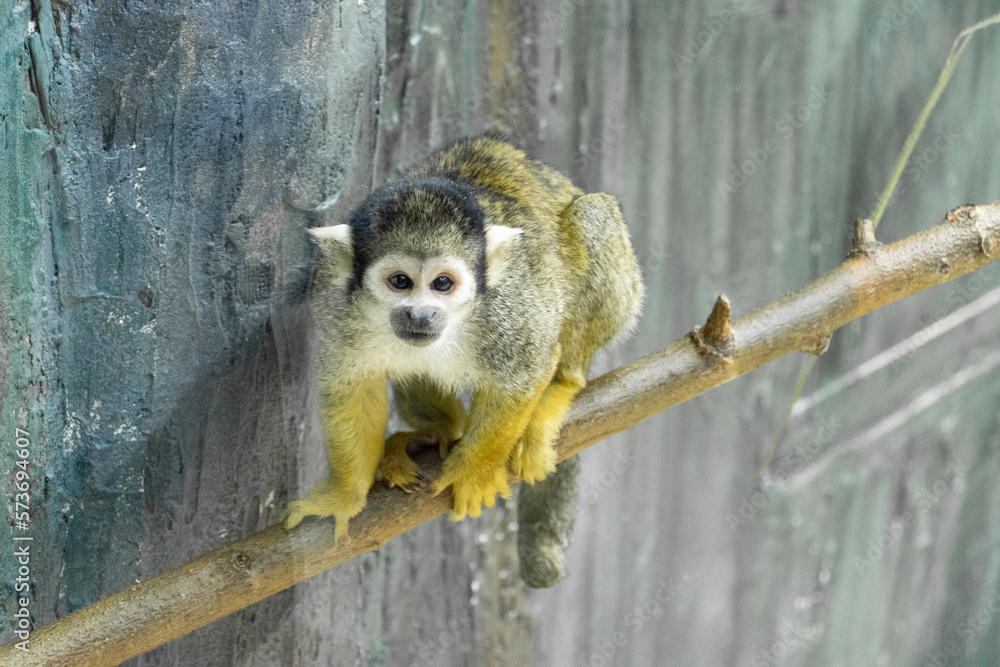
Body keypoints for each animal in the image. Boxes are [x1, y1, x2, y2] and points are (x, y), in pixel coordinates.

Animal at [283, 137, 644, 579]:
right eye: (400, 281)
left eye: (443, 283)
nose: (421, 314)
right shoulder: (335, 303)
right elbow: (352, 390)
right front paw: (344, 495)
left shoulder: (511, 307)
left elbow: (526, 372)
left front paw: (475, 473)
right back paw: (439, 427)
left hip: (626, 297)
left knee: (591, 215)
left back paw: (562, 387)